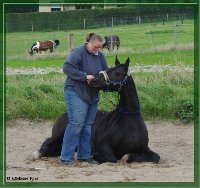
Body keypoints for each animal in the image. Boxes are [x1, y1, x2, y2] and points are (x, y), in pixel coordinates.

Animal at [33, 56, 161, 164]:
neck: (129, 120)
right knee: (47, 144)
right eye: (108, 69)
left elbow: (155, 157)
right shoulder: (103, 146)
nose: (94, 80)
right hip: (58, 135)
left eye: (118, 73)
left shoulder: (144, 148)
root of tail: (64, 115)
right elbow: (112, 158)